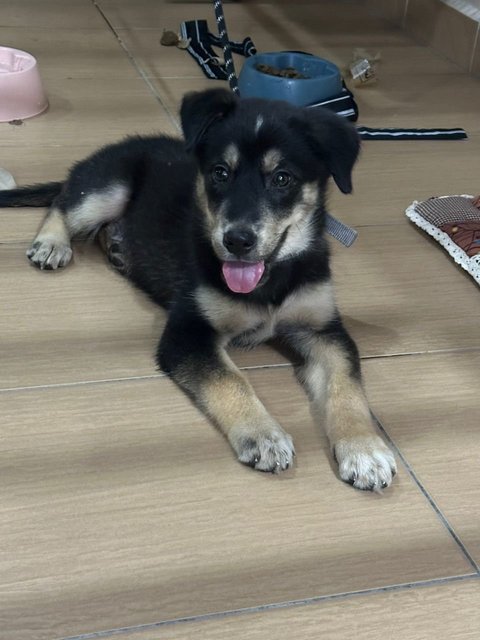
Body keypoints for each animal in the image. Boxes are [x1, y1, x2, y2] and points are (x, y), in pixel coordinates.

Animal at [0, 89, 398, 490]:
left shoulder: (324, 332)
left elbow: (348, 388)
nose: (237, 241)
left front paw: (365, 449)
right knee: (63, 203)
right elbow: (230, 380)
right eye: (220, 173)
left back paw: (116, 247)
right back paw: (52, 243)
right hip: (108, 188)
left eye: (282, 178)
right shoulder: (188, 332)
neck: (270, 280)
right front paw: (263, 435)